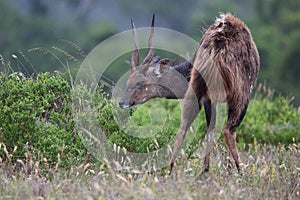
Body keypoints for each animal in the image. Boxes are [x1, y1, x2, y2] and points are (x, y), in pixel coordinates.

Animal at [118, 13, 258, 174]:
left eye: (138, 82)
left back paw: (171, 172)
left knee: (182, 131)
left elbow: (209, 131)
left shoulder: (207, 99)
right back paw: (240, 172)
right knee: (229, 131)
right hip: (240, 97)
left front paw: (206, 169)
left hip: (195, 94)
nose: (121, 102)